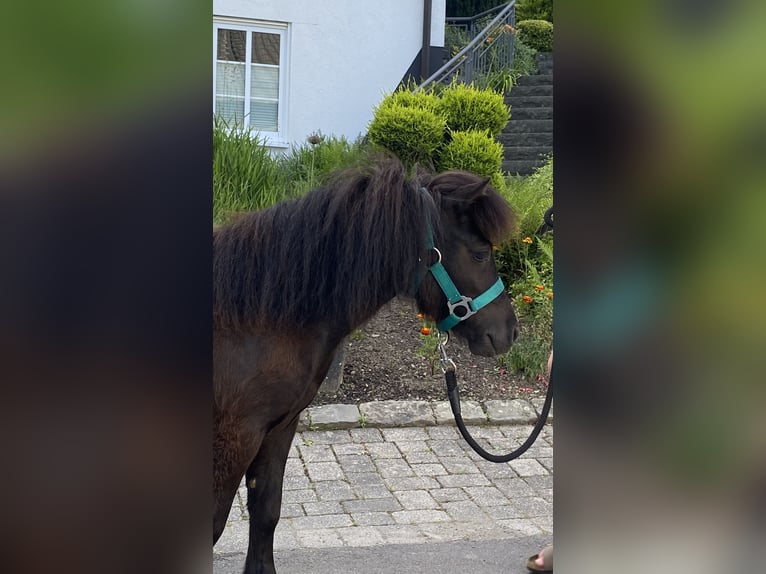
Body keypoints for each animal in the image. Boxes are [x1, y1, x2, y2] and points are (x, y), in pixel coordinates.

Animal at [213, 154, 518, 573]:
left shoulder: (278, 428)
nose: (509, 332)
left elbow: (266, 512)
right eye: (480, 253)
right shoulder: (235, 438)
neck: (256, 319)